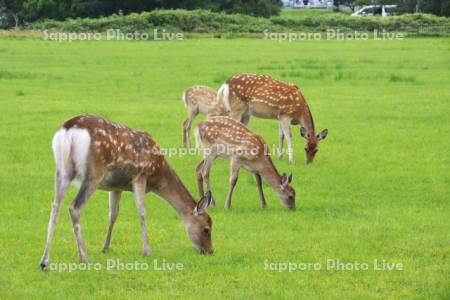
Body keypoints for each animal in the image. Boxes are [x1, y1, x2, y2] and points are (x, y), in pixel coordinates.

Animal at [39, 115, 214, 270]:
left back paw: (44, 261)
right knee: (74, 207)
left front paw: (105, 247)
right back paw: (84, 257)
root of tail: (68, 129)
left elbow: (113, 214)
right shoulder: (141, 175)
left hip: (62, 170)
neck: (157, 173)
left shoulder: (117, 186)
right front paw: (147, 251)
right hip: (94, 171)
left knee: (55, 207)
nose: (210, 251)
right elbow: (142, 212)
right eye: (206, 229)